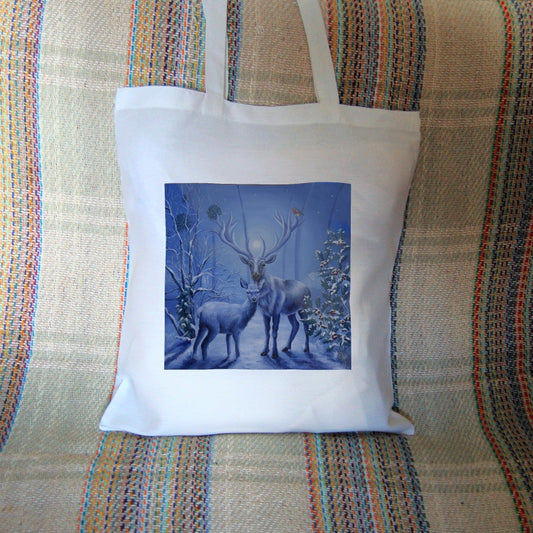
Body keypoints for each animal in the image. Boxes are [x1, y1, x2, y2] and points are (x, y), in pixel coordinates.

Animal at [216, 212, 311, 359]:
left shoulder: (276, 310)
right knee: (296, 325)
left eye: (264, 263)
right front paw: (264, 351)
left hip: (305, 307)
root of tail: (308, 288)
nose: (255, 274)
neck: (267, 300)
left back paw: (306, 348)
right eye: (249, 263)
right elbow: (267, 331)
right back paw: (286, 347)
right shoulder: (265, 313)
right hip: (291, 311)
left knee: (307, 326)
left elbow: (275, 332)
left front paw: (274, 353)